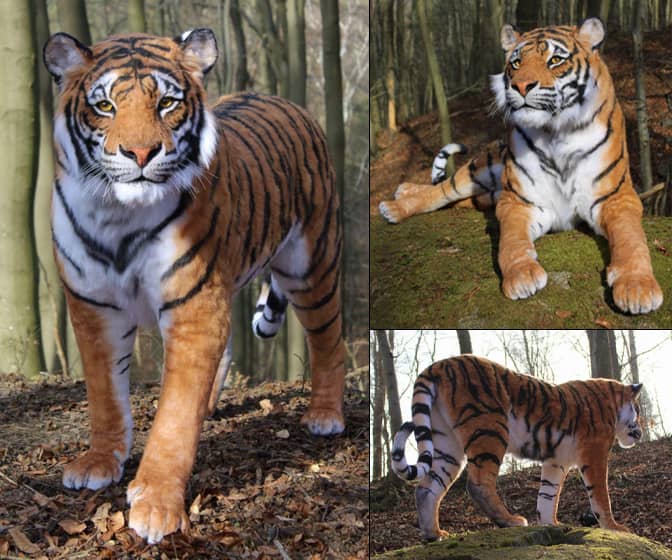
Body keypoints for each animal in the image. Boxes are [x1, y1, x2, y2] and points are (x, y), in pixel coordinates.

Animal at [43, 29, 345, 544]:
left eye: (166, 103)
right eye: (104, 106)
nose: (141, 154)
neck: (117, 215)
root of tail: (283, 100)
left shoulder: (193, 306)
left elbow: (173, 417)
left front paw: (157, 504)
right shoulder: (93, 305)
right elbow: (105, 395)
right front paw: (100, 462)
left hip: (311, 265)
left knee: (329, 339)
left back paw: (326, 415)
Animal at [378, 18, 662, 315]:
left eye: (555, 60)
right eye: (515, 63)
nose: (521, 86)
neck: (556, 131)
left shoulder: (617, 198)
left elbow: (631, 240)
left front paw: (637, 286)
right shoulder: (519, 201)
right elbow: (512, 242)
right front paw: (522, 276)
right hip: (479, 169)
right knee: (440, 190)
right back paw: (397, 202)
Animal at [391, 354, 643, 541]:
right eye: (638, 411)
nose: (640, 433)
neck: (614, 406)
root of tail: (437, 365)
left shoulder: (557, 461)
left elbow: (548, 495)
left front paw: (551, 524)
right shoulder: (594, 453)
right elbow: (600, 495)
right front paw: (614, 527)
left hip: (447, 446)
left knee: (426, 488)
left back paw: (433, 534)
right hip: (490, 429)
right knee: (478, 484)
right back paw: (510, 521)